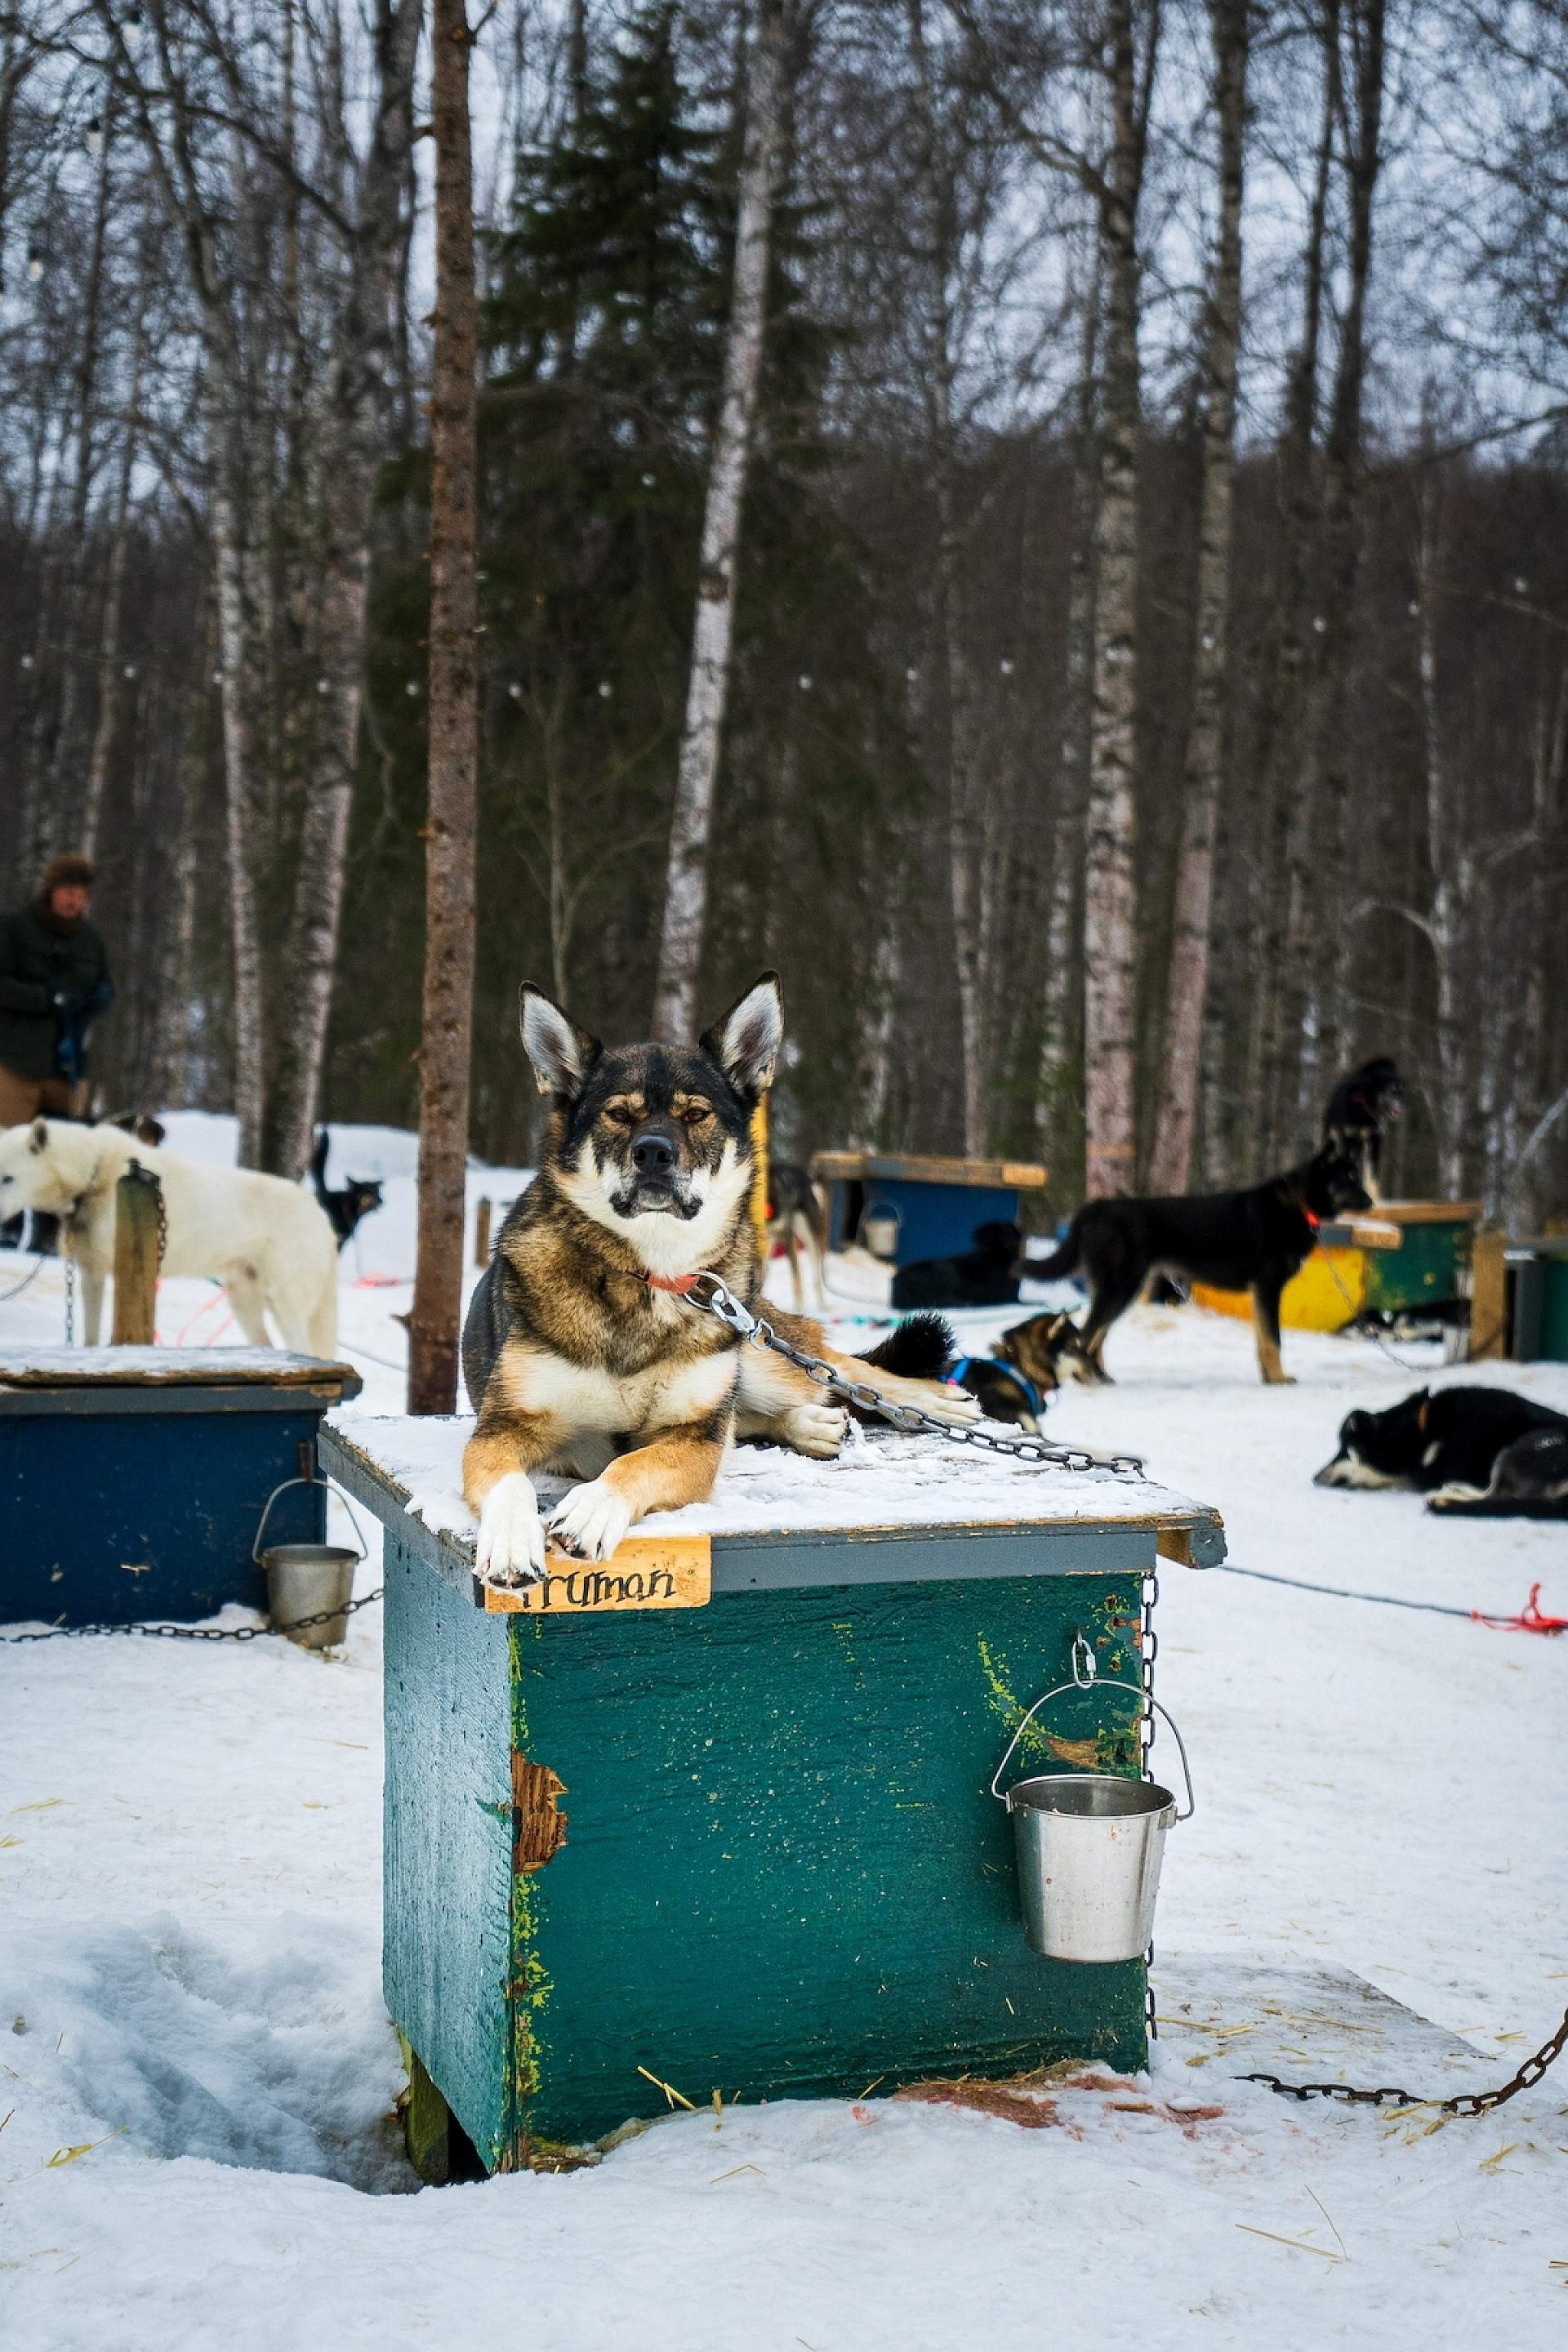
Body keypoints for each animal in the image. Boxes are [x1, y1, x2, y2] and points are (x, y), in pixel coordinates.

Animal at [0, 1115, 341, 1354]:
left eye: (7, 1178)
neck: (94, 1176)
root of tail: (321, 1214)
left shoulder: (125, 1270)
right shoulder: (91, 1272)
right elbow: (90, 1338)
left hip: (282, 1302)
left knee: (305, 1350)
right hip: (243, 1302)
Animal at [456, 964, 982, 1589]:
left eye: (695, 1114)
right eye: (619, 1114)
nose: (653, 1153)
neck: (649, 1277)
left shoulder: (693, 1438)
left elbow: (634, 1464)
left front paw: (592, 1508)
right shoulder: (502, 1428)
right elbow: (511, 1482)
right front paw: (512, 1541)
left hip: (761, 1356)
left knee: (845, 1370)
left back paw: (933, 1402)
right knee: (762, 1415)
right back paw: (813, 1425)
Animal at [1316, 1383, 1568, 1514]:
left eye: (1343, 1451)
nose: (1314, 1478)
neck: (1421, 1431)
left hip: (1523, 1446)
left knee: (1495, 1494)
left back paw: (1446, 1496)